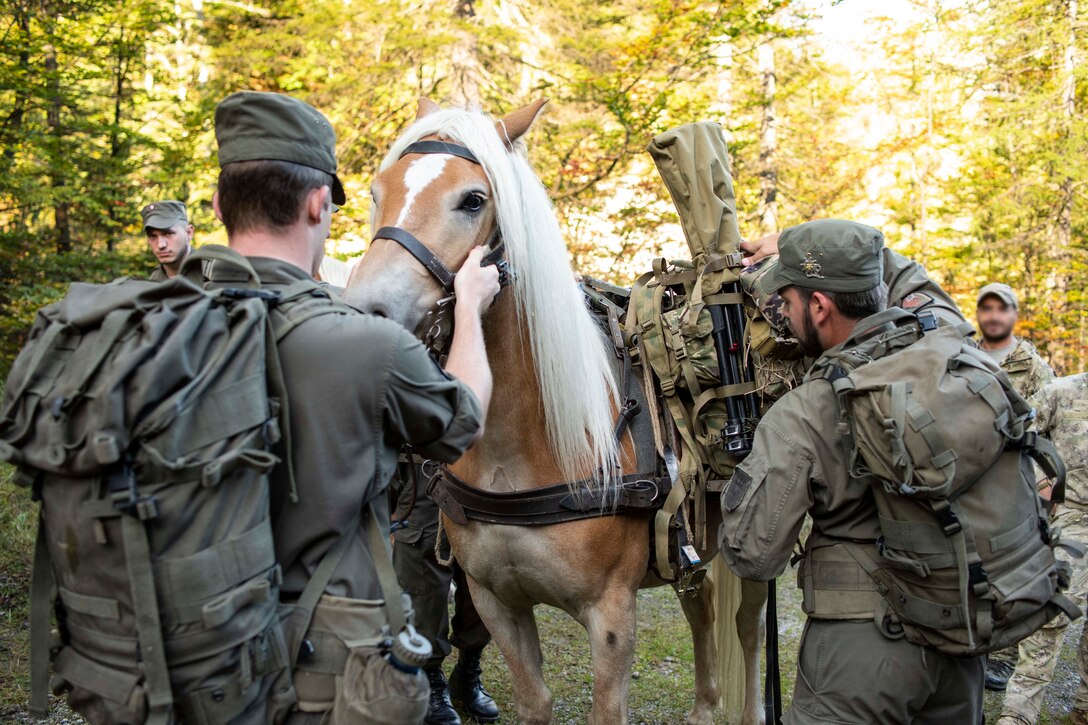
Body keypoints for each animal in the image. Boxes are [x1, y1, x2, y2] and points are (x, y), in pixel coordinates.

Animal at [345, 97, 765, 722]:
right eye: (377, 191)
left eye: (474, 199)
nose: (371, 309)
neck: (521, 445)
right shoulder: (496, 602)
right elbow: (534, 700)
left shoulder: (612, 616)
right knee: (703, 601)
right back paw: (704, 707)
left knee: (746, 625)